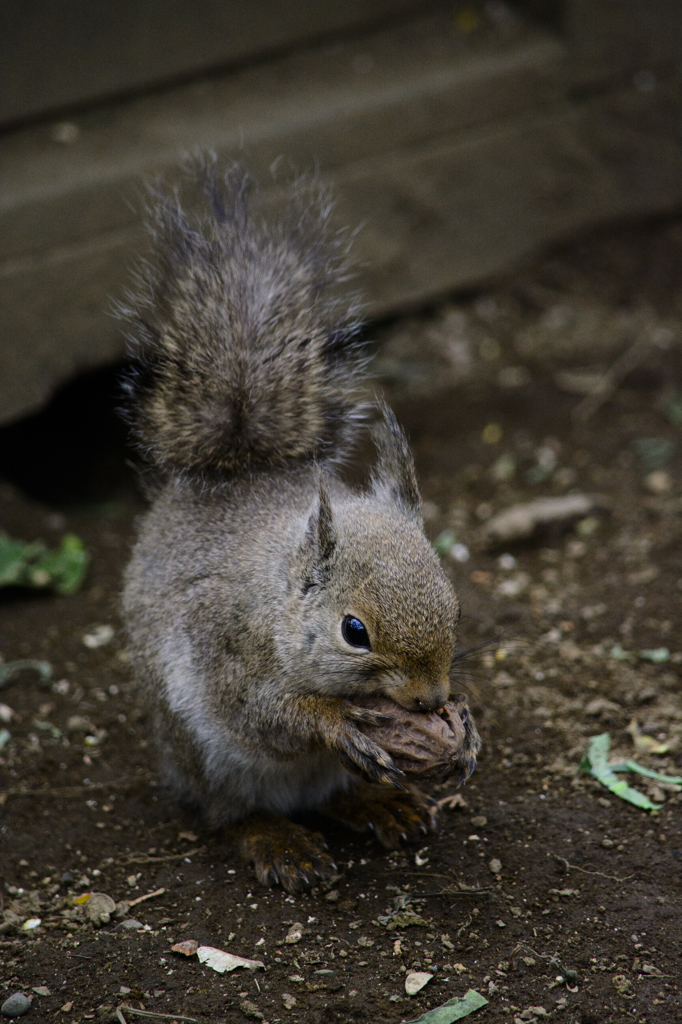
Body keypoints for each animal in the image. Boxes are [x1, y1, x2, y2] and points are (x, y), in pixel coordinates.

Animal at [119, 163, 477, 892]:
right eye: (354, 632)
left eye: (454, 602)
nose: (431, 701)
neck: (279, 604)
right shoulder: (227, 650)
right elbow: (269, 714)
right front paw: (336, 723)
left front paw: (468, 733)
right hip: (200, 753)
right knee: (231, 812)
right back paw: (279, 840)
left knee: (332, 797)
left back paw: (380, 803)